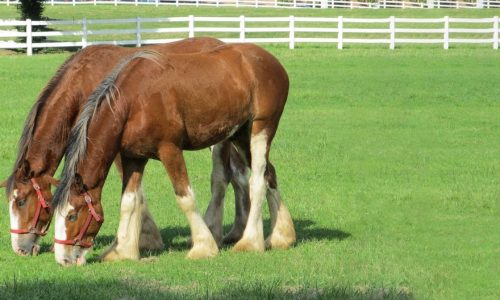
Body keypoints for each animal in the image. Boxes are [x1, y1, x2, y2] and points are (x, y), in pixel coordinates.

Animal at [0, 37, 270, 258]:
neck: (84, 82)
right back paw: (240, 230)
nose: (19, 248)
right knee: (240, 175)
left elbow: (134, 192)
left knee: (232, 175)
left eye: (20, 201)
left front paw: (144, 238)